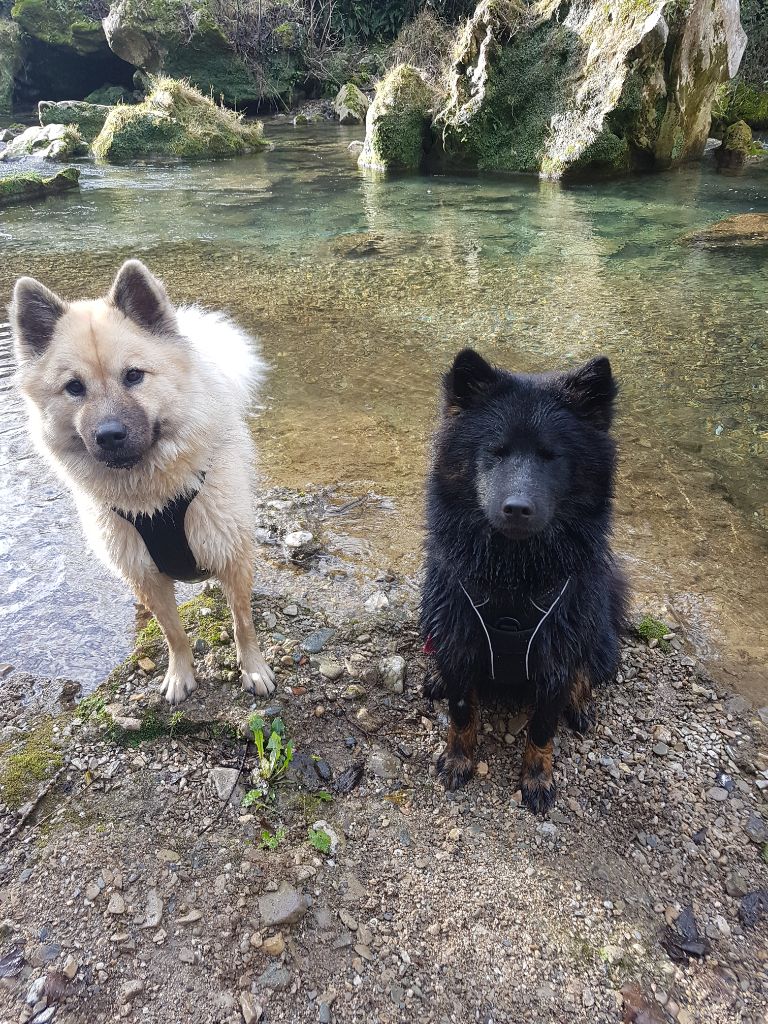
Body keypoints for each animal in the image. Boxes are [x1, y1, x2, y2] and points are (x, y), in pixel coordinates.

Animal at [10, 260, 274, 704]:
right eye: (74, 387)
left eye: (133, 376)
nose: (109, 435)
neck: (156, 500)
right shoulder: (146, 574)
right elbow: (173, 633)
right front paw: (180, 674)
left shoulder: (231, 555)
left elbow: (243, 624)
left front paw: (253, 669)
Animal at [423, 348, 626, 811]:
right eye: (496, 452)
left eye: (551, 455)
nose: (517, 507)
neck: (514, 576)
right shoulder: (459, 636)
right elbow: (462, 710)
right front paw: (458, 759)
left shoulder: (555, 654)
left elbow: (542, 728)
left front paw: (536, 779)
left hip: (598, 635)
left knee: (587, 669)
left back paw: (580, 700)